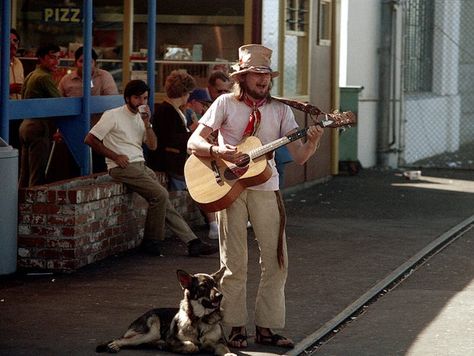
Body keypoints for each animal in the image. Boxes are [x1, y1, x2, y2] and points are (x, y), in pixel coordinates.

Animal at [96, 268, 235, 356]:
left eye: (215, 285)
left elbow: (224, 349)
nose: (220, 295)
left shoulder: (219, 342)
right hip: (151, 331)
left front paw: (230, 354)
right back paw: (114, 345)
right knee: (122, 340)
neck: (200, 319)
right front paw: (189, 347)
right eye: (203, 286)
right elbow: (191, 345)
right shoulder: (172, 339)